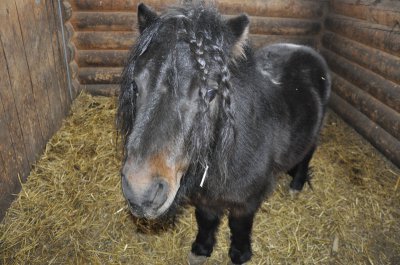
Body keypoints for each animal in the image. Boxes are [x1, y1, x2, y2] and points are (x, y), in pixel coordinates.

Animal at [117, 2, 330, 264]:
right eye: (136, 85)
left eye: (210, 92)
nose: (140, 191)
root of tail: (307, 51)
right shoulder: (205, 198)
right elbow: (206, 220)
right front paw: (201, 249)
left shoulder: (246, 202)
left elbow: (239, 226)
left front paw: (240, 253)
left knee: (308, 152)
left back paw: (296, 185)